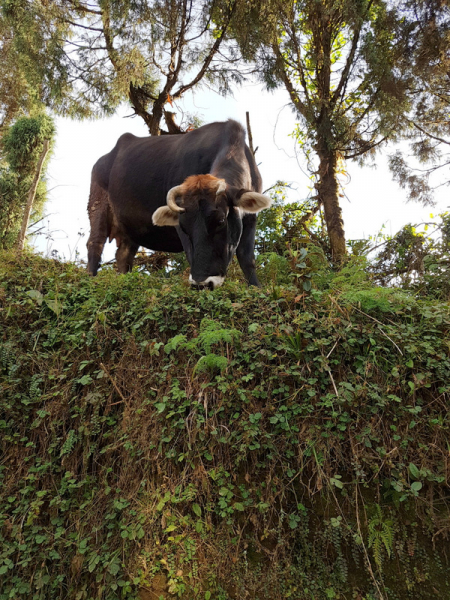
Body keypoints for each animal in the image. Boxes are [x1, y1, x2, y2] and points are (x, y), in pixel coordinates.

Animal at [86, 119, 272, 288]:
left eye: (220, 221)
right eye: (183, 226)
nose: (202, 283)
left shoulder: (251, 218)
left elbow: (247, 257)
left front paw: (256, 287)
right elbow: (190, 253)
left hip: (130, 229)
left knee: (124, 255)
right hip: (97, 204)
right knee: (95, 243)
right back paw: (89, 281)